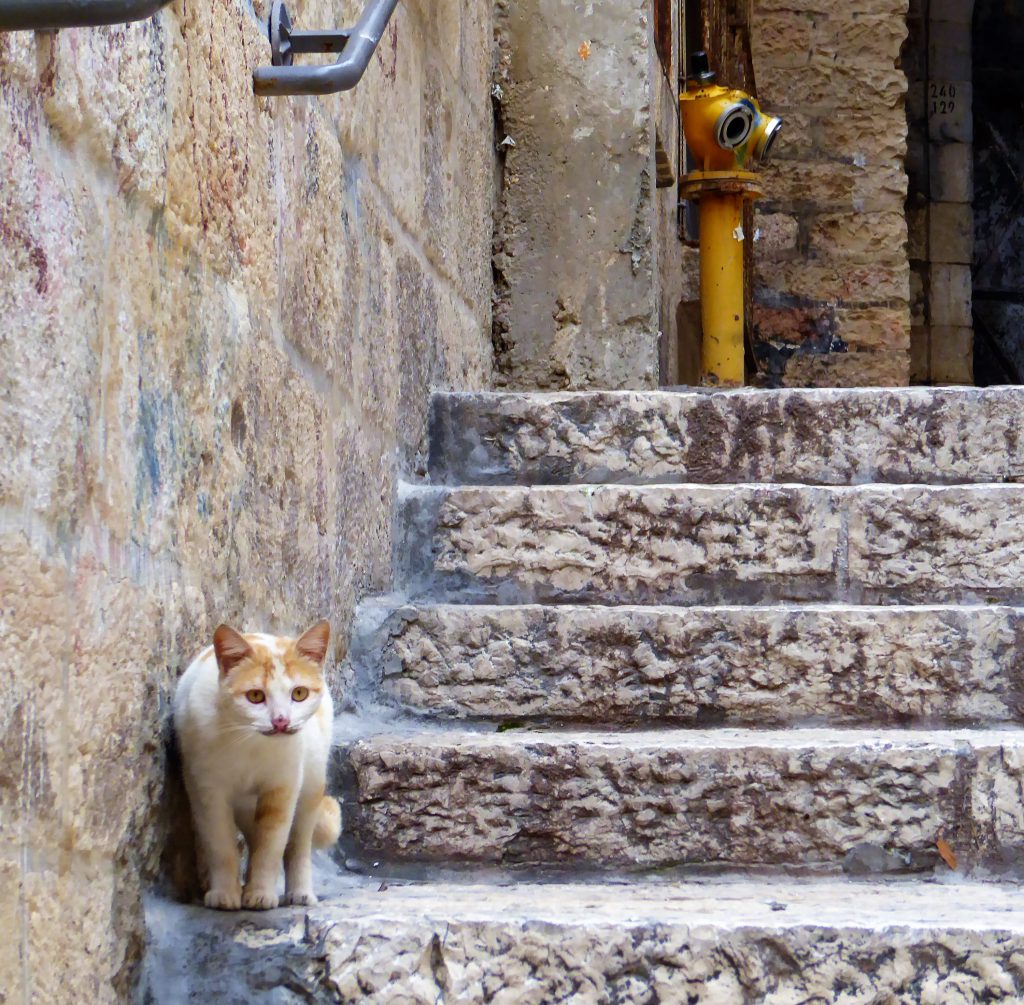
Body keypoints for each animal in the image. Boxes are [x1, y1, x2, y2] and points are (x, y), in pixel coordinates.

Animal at [172, 618, 339, 909]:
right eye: (255, 696)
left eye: (299, 693)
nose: (281, 721)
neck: (250, 744)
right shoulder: (207, 791)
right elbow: (221, 846)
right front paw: (225, 893)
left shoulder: (282, 789)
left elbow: (271, 847)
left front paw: (260, 892)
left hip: (310, 788)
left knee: (298, 844)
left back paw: (300, 891)